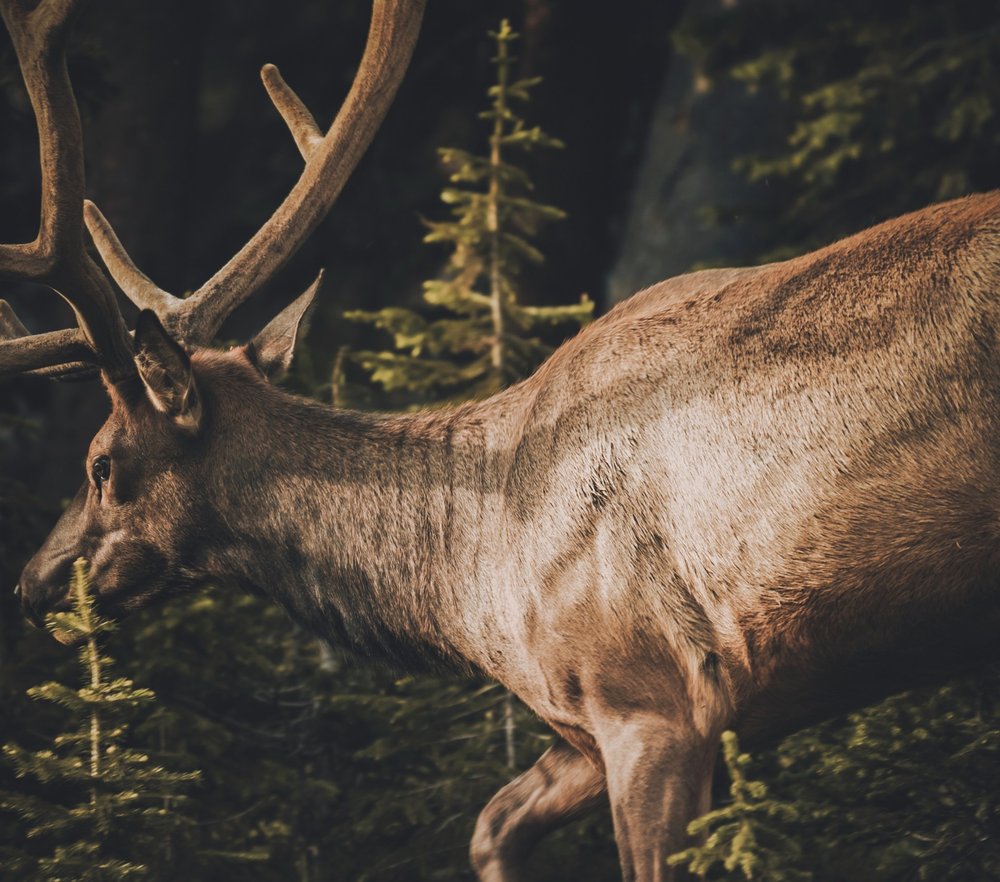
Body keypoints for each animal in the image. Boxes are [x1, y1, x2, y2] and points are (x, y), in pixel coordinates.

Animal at [4, 0, 1000, 880]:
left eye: (101, 464)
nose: (32, 584)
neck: (477, 582)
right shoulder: (598, 732)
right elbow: (490, 826)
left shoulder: (652, 703)